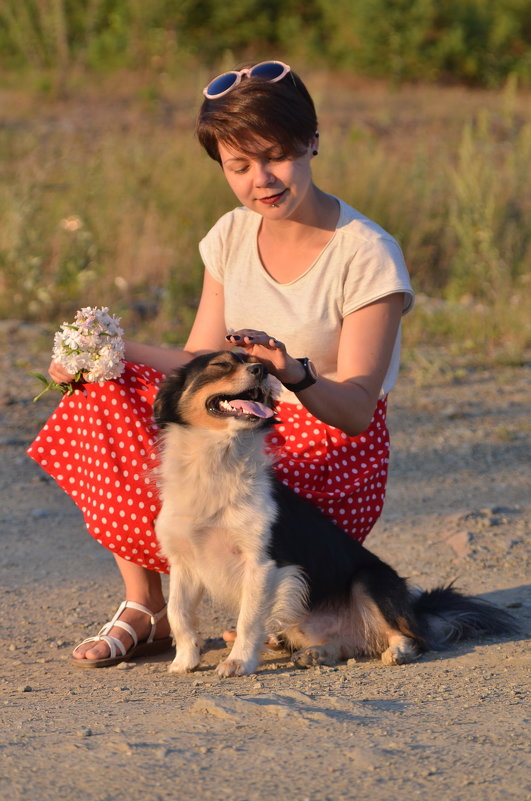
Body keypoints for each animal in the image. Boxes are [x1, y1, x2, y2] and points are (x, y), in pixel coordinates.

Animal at [154, 350, 520, 676]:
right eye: (220, 365)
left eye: (257, 362)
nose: (262, 370)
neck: (217, 464)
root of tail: (416, 610)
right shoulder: (184, 563)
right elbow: (178, 614)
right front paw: (185, 661)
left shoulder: (261, 563)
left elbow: (248, 620)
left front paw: (239, 662)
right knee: (349, 645)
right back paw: (317, 654)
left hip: (369, 580)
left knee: (412, 637)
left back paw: (398, 651)